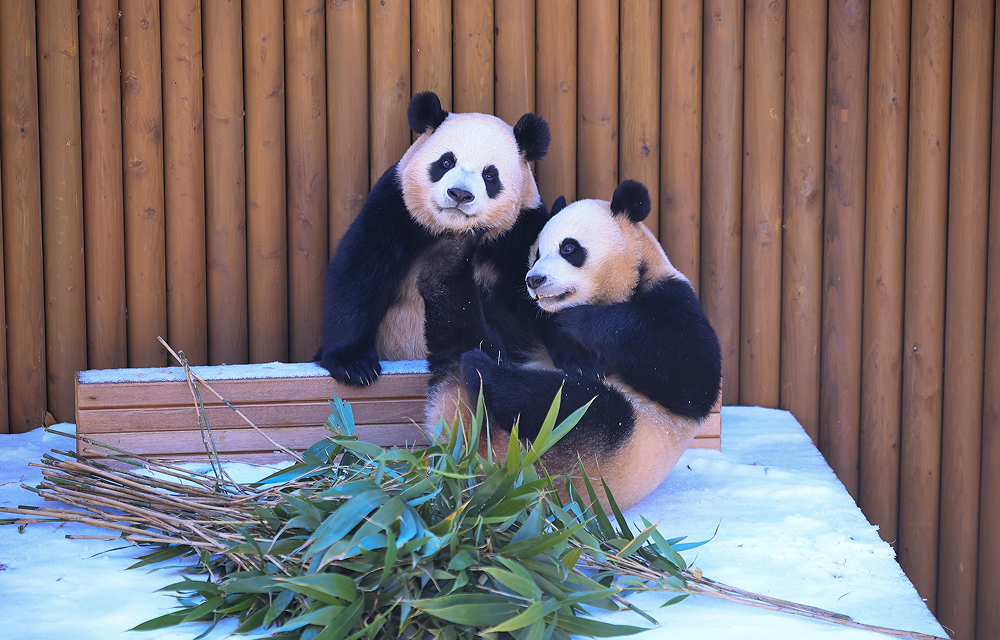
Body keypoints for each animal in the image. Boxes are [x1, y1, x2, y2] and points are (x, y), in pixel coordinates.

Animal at [315, 91, 551, 386]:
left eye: (490, 175)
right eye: (446, 162)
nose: (459, 194)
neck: (451, 230)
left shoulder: (522, 233)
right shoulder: (395, 208)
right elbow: (360, 271)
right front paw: (354, 365)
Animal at [421, 180, 722, 510]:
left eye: (568, 248)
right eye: (536, 252)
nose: (534, 280)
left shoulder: (674, 300)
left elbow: (690, 370)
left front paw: (574, 325)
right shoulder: (523, 326)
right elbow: (514, 318)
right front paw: (569, 346)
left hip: (606, 447)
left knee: (572, 405)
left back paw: (482, 369)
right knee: (459, 336)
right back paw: (449, 262)